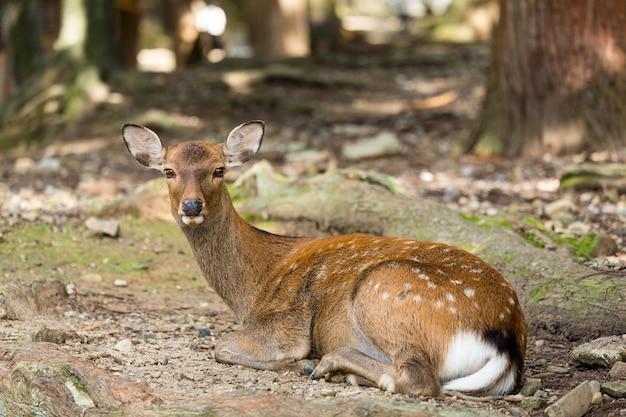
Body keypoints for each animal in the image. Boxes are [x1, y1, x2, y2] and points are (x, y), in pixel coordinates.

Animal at [119, 119, 524, 396]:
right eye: (168, 171)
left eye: (219, 169)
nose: (191, 205)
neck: (251, 289)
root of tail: (506, 341)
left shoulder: (285, 322)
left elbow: (222, 346)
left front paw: (297, 363)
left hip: (383, 288)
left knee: (419, 378)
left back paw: (326, 364)